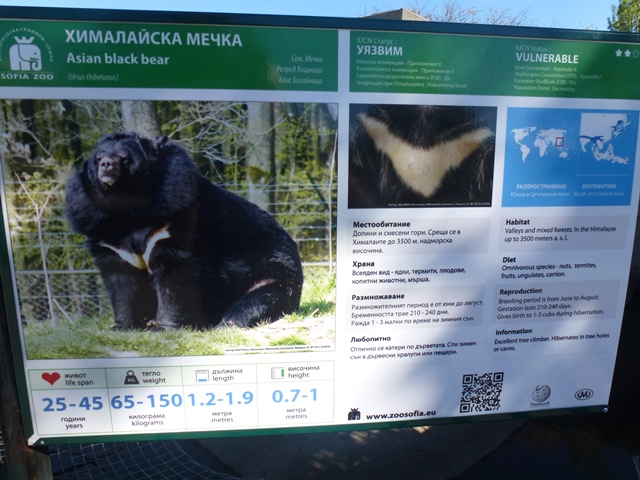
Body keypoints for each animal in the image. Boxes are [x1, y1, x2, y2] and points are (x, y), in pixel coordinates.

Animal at [65, 132, 303, 330]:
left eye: (124, 157)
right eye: (98, 159)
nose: (106, 165)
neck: (129, 209)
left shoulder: (173, 217)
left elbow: (173, 278)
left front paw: (162, 327)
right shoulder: (105, 234)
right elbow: (121, 281)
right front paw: (122, 326)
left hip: (273, 275)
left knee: (255, 302)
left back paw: (224, 323)